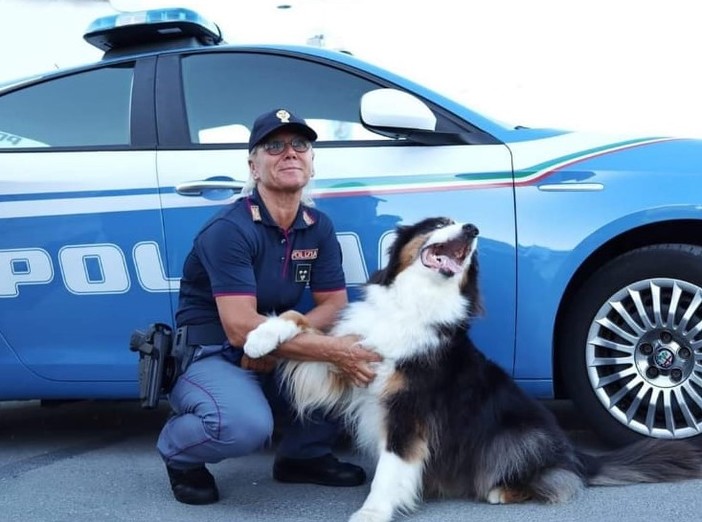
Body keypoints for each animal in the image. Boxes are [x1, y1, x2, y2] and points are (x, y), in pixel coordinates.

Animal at [243, 216, 702, 520]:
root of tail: (579, 455)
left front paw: (373, 511)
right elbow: (301, 321)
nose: (472, 229)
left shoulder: (410, 407)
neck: (416, 303)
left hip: (518, 433)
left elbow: (392, 465)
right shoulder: (348, 361)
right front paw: (258, 338)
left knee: (559, 479)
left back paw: (504, 490)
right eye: (437, 223)